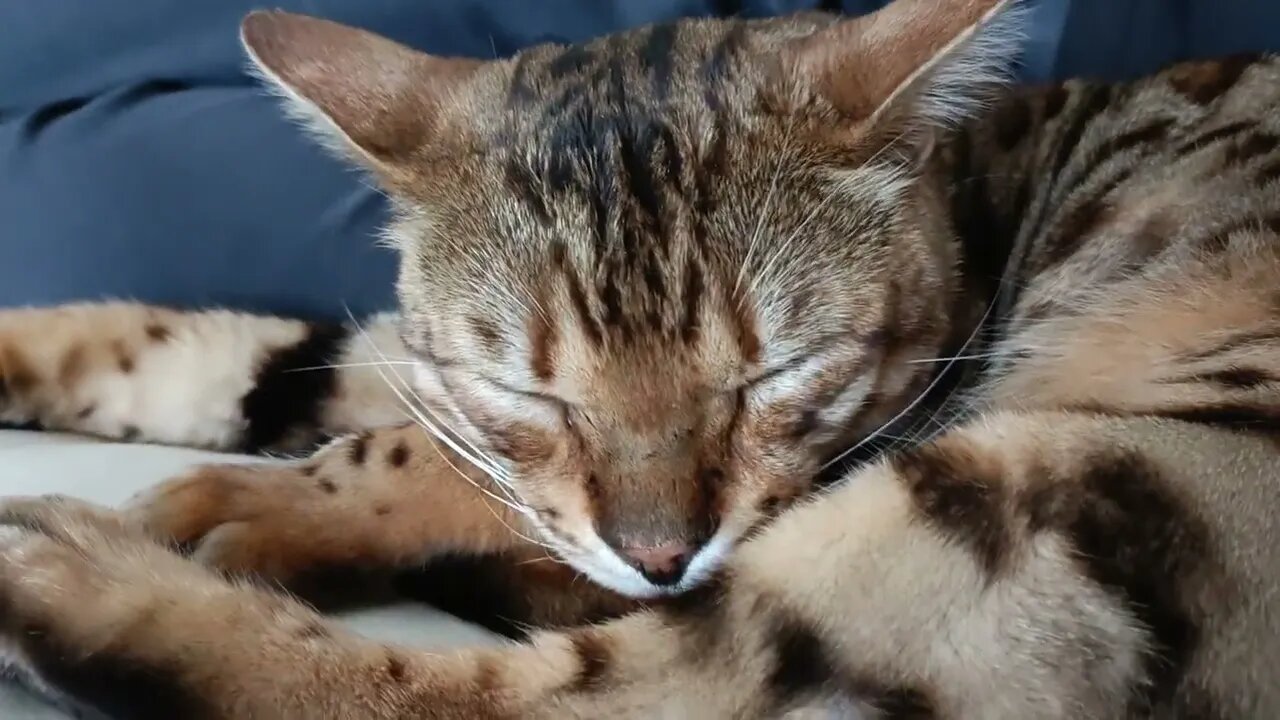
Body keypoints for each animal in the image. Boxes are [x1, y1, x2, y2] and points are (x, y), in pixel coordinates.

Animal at [2, 0, 1280, 712]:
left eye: (771, 377)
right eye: (528, 387)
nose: (660, 556)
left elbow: (409, 456)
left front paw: (258, 506)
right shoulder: (424, 368)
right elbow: (258, 356)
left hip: (1076, 478)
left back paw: (72, 580)